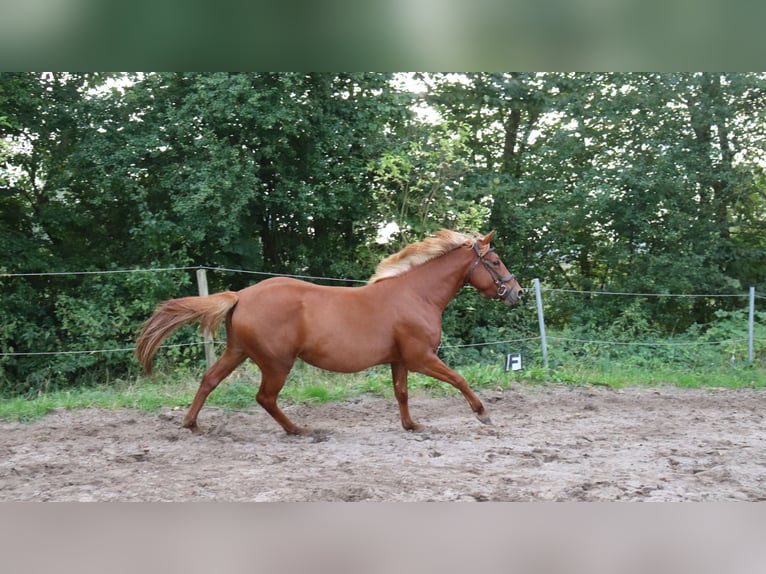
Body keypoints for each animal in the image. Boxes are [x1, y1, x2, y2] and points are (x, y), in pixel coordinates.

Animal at [135, 232, 524, 434]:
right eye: (496, 261)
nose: (517, 293)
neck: (416, 295)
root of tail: (241, 295)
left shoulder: (399, 360)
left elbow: (401, 394)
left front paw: (412, 425)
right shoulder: (420, 357)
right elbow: (458, 379)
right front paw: (483, 414)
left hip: (238, 352)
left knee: (210, 379)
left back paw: (191, 423)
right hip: (276, 363)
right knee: (265, 398)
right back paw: (298, 430)